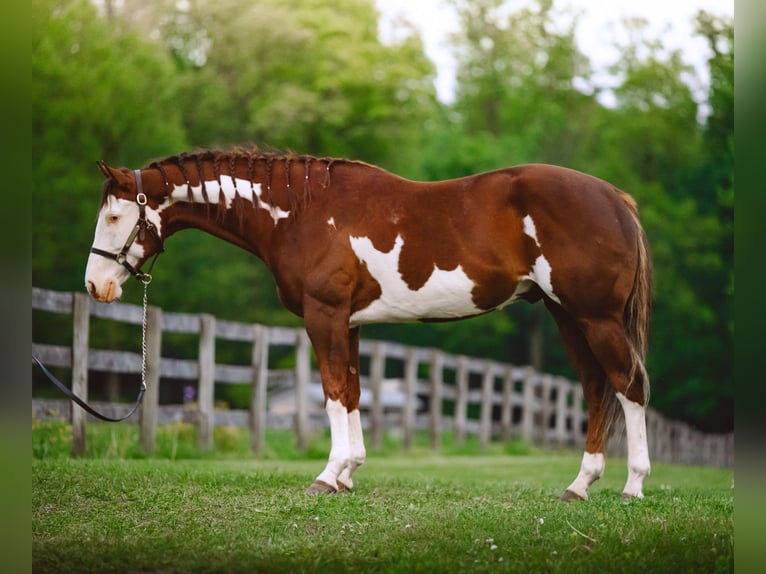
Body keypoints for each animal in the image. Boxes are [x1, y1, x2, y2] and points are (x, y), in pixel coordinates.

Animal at [85, 147, 652, 500]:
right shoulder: (350, 323)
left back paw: (632, 486)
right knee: (596, 388)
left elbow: (333, 393)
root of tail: (617, 199)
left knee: (629, 386)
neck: (300, 213)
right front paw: (348, 474)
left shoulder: (325, 316)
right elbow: (353, 392)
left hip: (594, 317)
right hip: (566, 316)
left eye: (113, 217)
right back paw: (579, 486)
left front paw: (326, 476)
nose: (96, 285)